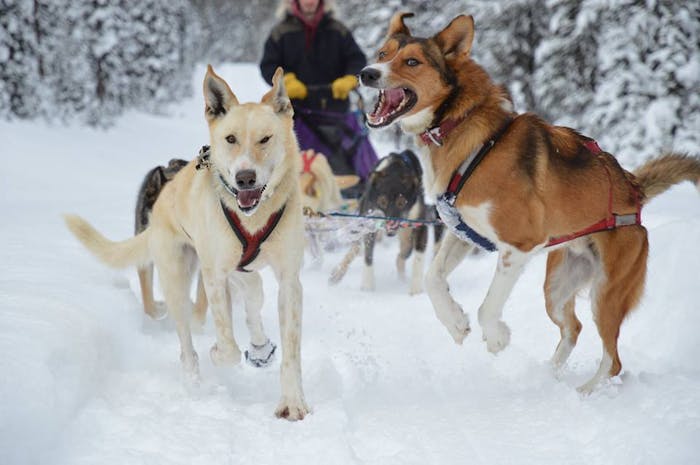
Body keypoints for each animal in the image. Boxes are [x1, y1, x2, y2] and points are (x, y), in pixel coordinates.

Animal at [65, 64, 308, 416]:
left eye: (265, 138)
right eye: (230, 139)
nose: (245, 178)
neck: (253, 218)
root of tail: (160, 203)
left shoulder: (289, 281)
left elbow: (290, 350)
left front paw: (292, 402)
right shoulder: (214, 276)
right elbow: (227, 344)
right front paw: (218, 353)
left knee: (254, 292)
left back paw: (259, 345)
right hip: (178, 279)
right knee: (186, 341)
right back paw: (195, 380)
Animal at [330, 149, 442, 294]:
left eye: (402, 203)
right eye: (382, 202)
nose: (391, 224)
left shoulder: (420, 225)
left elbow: (418, 257)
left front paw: (416, 290)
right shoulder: (369, 225)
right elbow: (368, 256)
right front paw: (367, 286)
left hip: (407, 239)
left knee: (401, 256)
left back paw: (402, 277)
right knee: (356, 246)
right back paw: (339, 271)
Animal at [358, 11, 700, 392]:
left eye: (412, 62)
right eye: (382, 53)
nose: (367, 73)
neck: (463, 127)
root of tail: (633, 191)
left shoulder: (517, 247)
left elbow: (488, 307)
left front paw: (496, 338)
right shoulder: (463, 232)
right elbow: (433, 279)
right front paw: (455, 322)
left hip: (607, 294)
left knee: (613, 360)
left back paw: (585, 392)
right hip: (556, 289)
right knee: (573, 329)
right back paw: (548, 375)